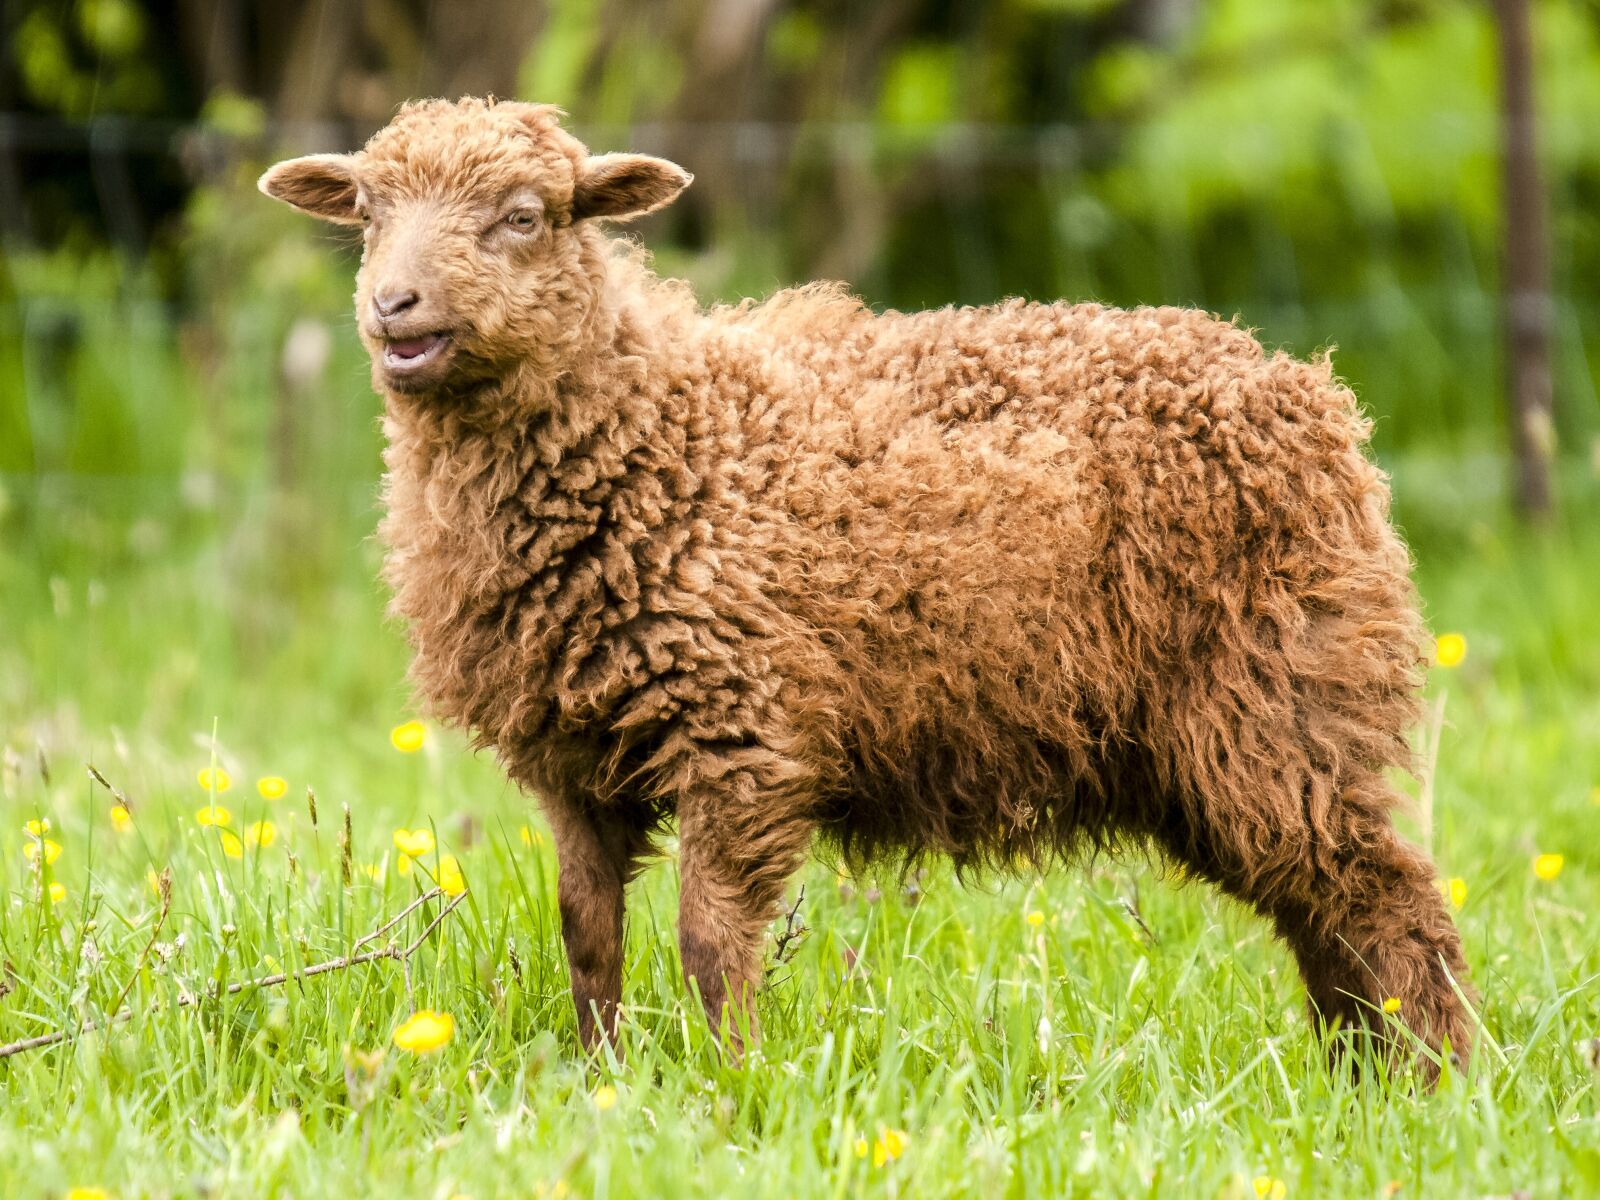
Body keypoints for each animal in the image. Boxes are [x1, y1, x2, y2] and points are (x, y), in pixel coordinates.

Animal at [260, 97, 1473, 1070]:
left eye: (524, 215)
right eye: (364, 212)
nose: (394, 307)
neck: (660, 427)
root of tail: (1307, 390)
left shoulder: (741, 732)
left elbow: (710, 942)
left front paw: (729, 1084)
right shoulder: (574, 759)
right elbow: (587, 935)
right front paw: (601, 1081)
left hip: (1279, 693)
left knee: (1384, 895)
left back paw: (1433, 1084)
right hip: (1221, 737)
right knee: (1323, 909)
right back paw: (1358, 1075)